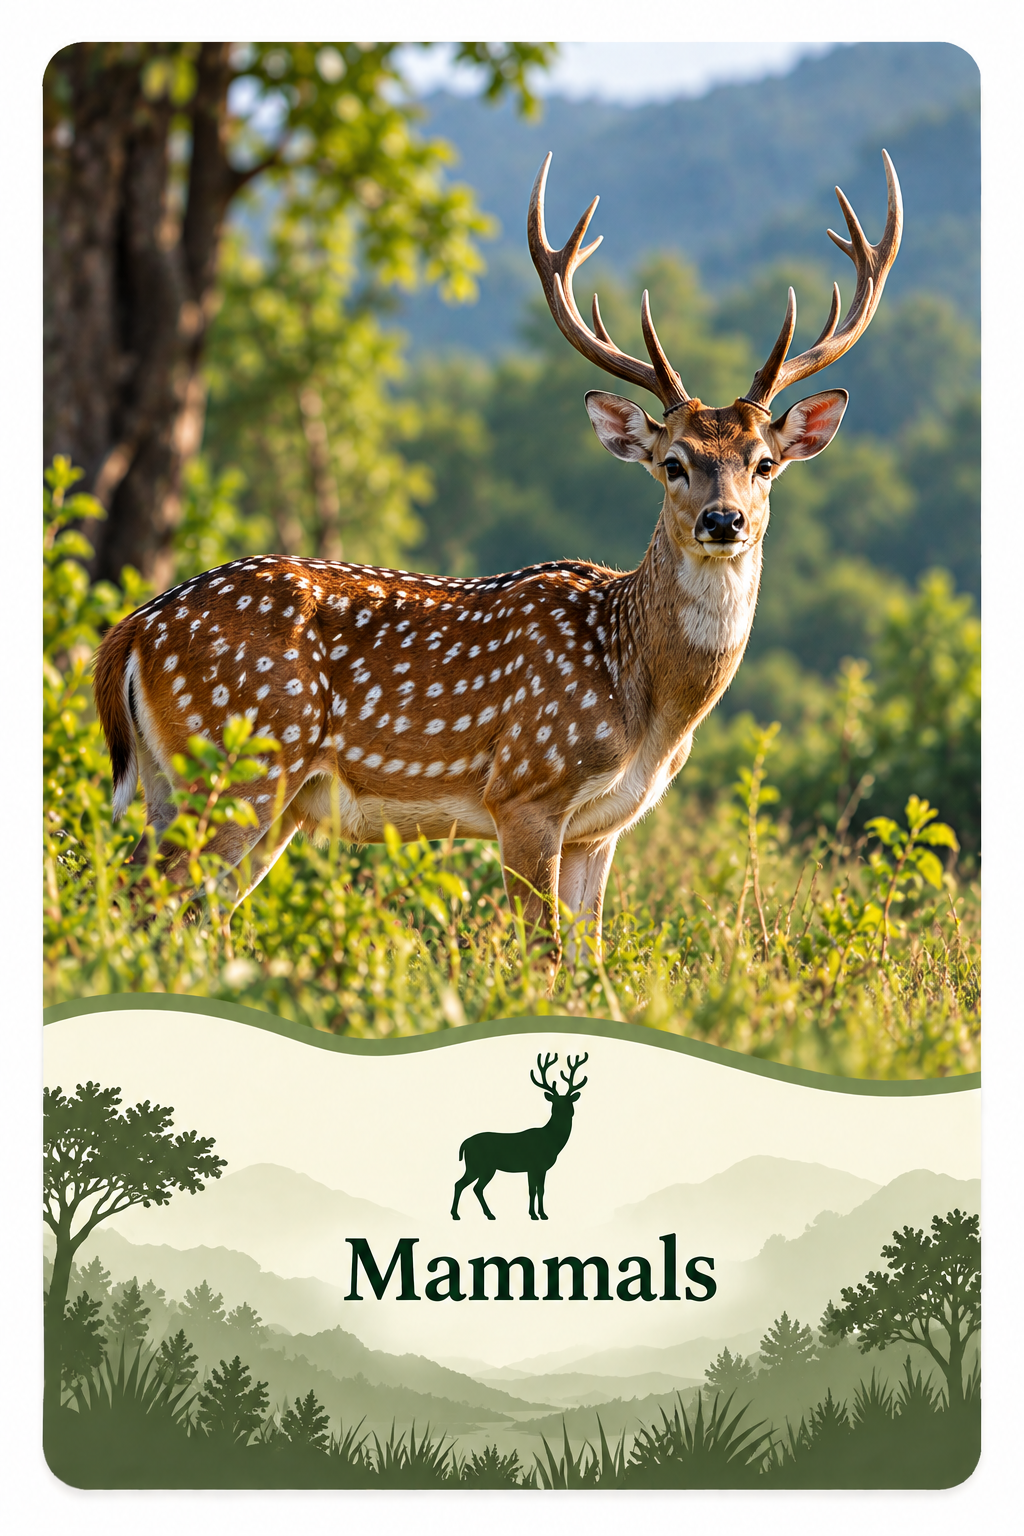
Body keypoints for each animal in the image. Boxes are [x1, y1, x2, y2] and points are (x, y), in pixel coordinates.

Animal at [94, 150, 902, 967]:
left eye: (764, 463)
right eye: (673, 462)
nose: (724, 519)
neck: (646, 705)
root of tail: (134, 629)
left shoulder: (600, 830)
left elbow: (587, 960)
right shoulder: (526, 790)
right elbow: (542, 956)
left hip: (217, 790)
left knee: (182, 908)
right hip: (240, 760)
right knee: (145, 898)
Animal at [451, 1051, 588, 1220]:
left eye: (569, 1102)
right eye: (554, 1103)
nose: (565, 1113)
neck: (551, 1141)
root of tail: (464, 1144)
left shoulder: (535, 1168)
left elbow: (537, 1190)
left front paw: (537, 1214)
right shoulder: (536, 1165)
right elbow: (536, 1191)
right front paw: (538, 1215)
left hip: (481, 1167)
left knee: (472, 1187)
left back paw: (485, 1214)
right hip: (479, 1165)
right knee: (464, 1185)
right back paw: (461, 1214)